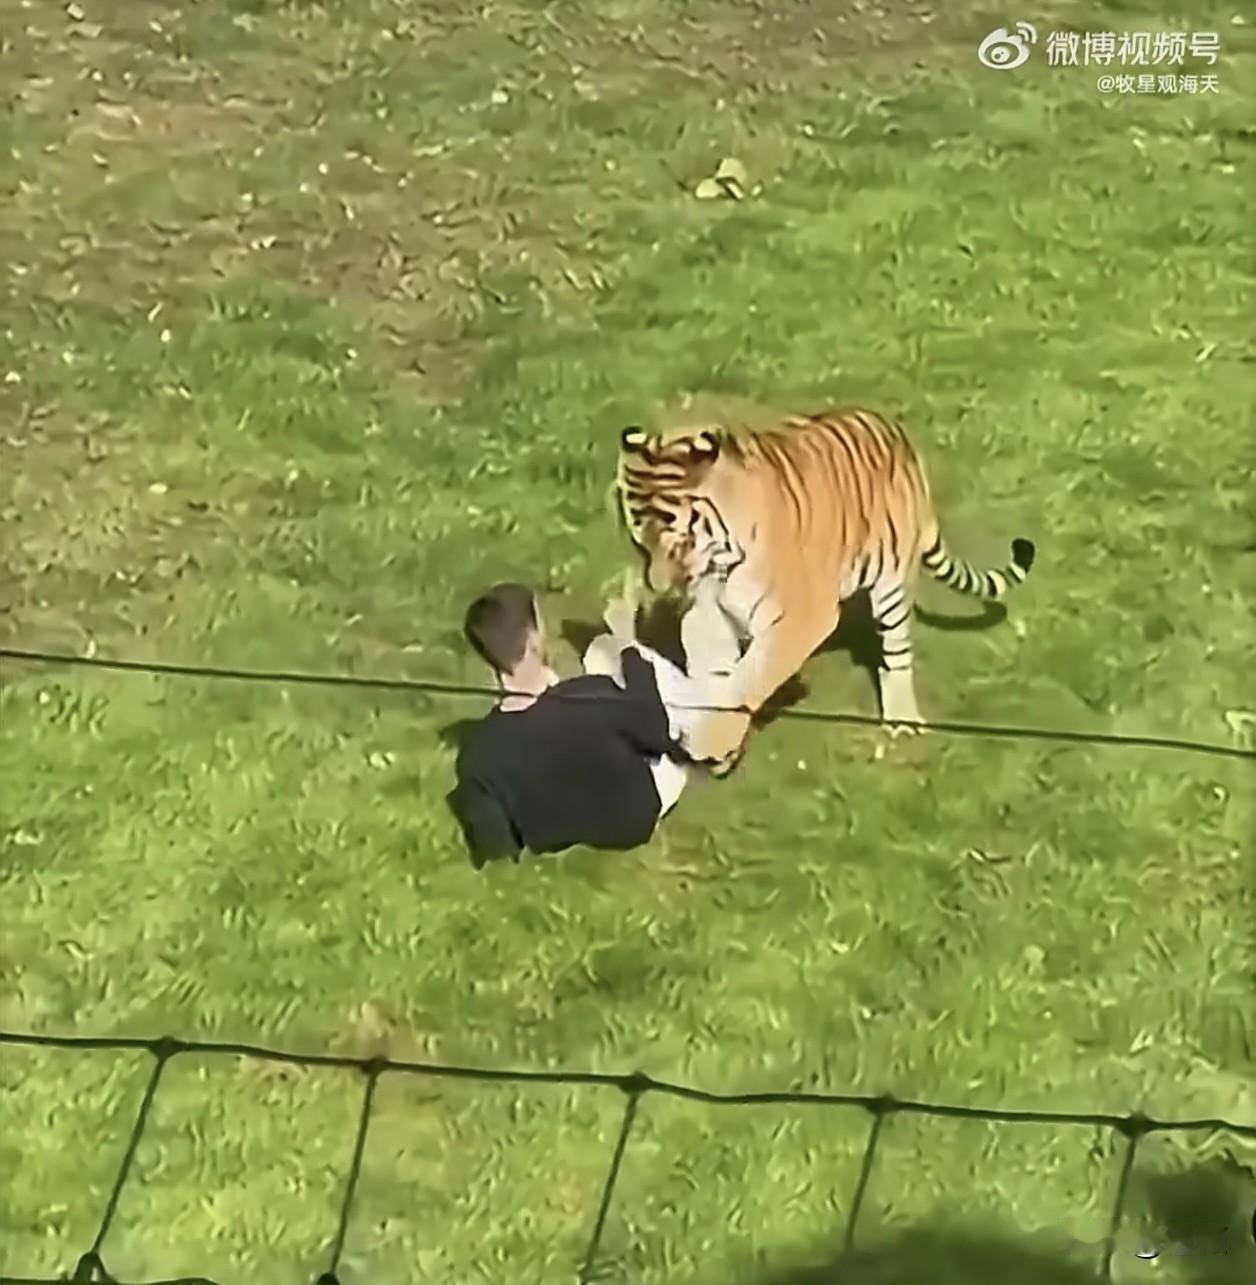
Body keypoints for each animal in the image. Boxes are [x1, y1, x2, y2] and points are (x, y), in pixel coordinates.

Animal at [615, 408, 1036, 774]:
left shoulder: (801, 617)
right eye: (639, 541)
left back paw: (902, 721)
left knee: (896, 655)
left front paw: (713, 743)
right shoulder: (707, 617)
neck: (722, 562)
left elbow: (747, 679)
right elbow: (716, 678)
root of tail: (896, 435)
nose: (657, 587)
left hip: (892, 585)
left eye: (680, 541)